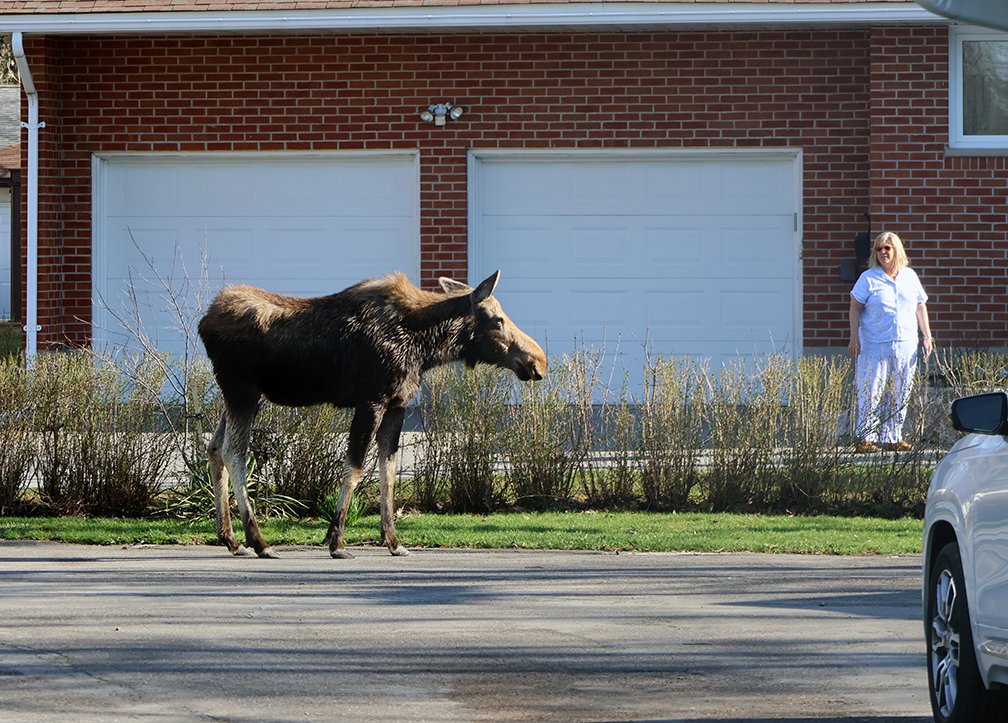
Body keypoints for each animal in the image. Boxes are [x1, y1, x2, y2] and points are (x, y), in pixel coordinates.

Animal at [195, 270, 544, 556]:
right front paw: (336, 541)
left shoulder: (397, 405)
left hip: (240, 395)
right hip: (242, 390)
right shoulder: (371, 401)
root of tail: (203, 323)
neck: (425, 347)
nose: (537, 360)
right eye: (497, 319)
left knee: (214, 448)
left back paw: (231, 540)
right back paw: (259, 542)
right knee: (234, 452)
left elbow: (387, 471)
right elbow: (356, 466)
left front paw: (393, 541)